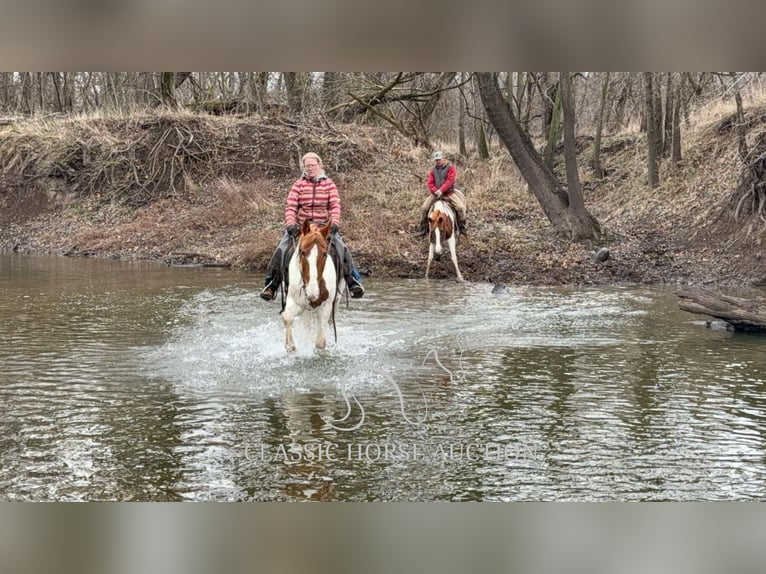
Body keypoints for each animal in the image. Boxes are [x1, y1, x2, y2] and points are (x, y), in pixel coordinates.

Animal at [282, 220, 340, 354]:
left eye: (324, 254)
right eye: (302, 252)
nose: (312, 293)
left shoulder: (326, 306)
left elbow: (320, 342)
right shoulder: (295, 301)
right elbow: (287, 317)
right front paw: (291, 346)